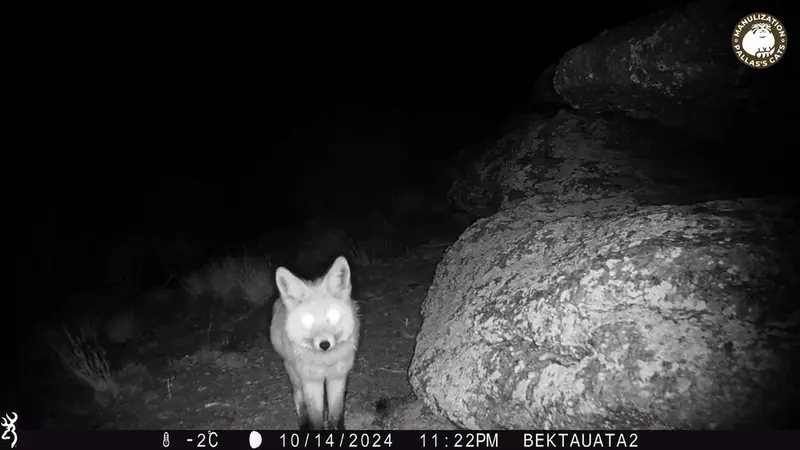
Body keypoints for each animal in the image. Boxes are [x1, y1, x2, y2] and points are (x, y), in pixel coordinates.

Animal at [270, 255, 360, 430]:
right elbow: (316, 418)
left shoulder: (337, 377)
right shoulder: (311, 382)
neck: (325, 362)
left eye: (332, 316)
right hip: (295, 374)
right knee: (298, 399)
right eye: (308, 321)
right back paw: (303, 424)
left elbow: (336, 415)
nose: (324, 345)